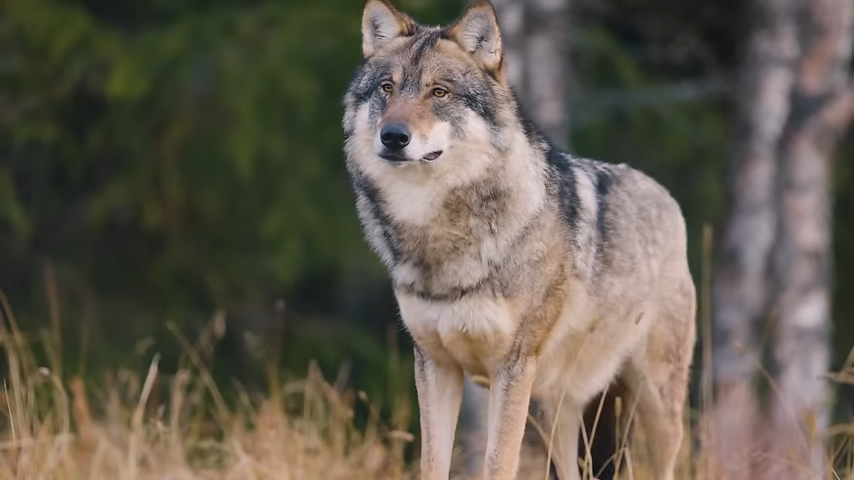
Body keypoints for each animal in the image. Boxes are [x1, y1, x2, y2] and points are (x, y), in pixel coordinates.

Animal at [341, 0, 697, 478]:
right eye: (386, 88)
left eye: (439, 92)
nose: (393, 136)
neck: (441, 237)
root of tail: (665, 196)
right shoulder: (436, 365)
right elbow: (432, 464)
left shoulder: (511, 370)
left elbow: (498, 464)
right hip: (556, 411)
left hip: (654, 405)